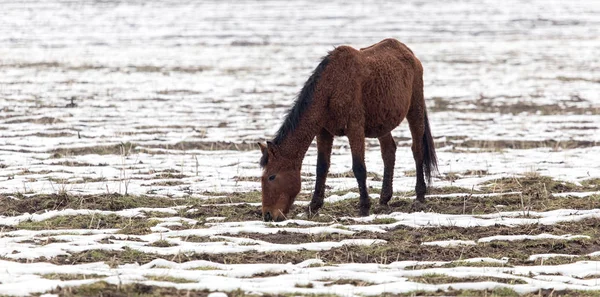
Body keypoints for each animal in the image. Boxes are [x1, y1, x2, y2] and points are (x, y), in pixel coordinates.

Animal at [256, 38, 436, 221]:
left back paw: (420, 196)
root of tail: (408, 52)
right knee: (389, 153)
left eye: (272, 176)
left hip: (415, 110)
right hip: (383, 123)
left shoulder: (355, 129)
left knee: (417, 150)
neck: (331, 87)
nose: (268, 215)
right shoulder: (324, 132)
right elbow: (321, 167)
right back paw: (384, 199)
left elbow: (359, 168)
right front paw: (313, 206)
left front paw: (364, 207)